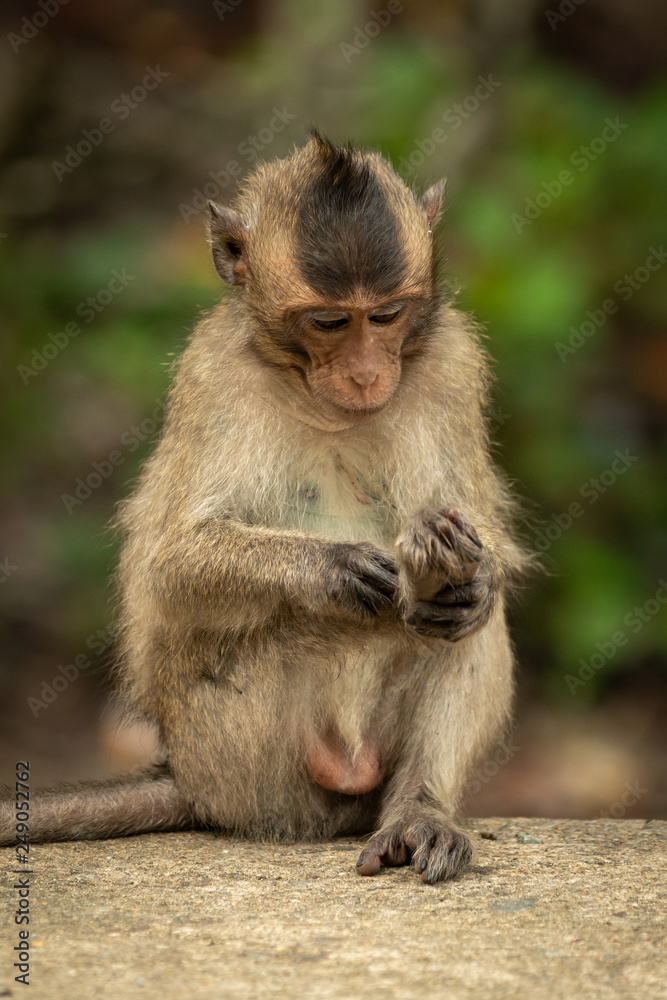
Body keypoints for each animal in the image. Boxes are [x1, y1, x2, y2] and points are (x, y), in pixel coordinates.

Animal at [0, 131, 532, 884]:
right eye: (330, 322)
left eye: (387, 315)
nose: (367, 374)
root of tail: (189, 777)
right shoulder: (213, 373)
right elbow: (170, 567)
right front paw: (335, 568)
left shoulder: (454, 365)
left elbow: (482, 548)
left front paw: (472, 576)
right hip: (234, 747)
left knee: (458, 627)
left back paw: (419, 810)